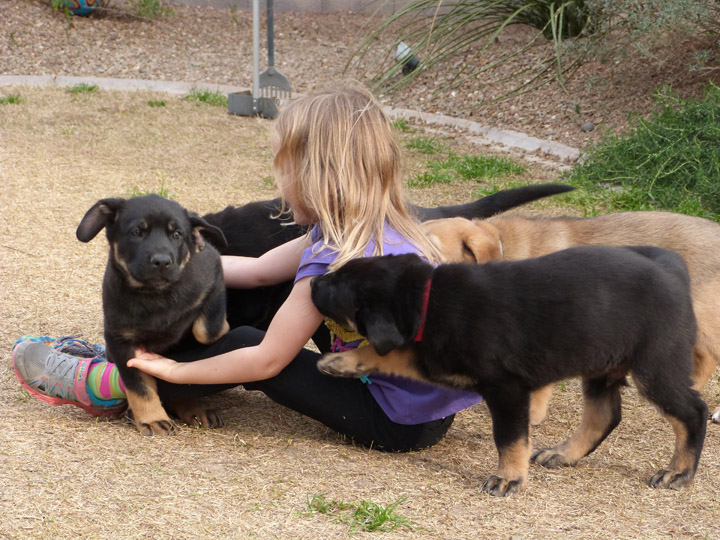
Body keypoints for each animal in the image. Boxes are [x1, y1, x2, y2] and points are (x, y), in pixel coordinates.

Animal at [76, 194, 229, 434]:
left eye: (177, 234)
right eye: (137, 232)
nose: (162, 262)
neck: (154, 295)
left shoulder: (214, 271)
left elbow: (207, 330)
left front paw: (224, 326)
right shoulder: (119, 340)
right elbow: (138, 386)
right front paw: (152, 418)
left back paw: (196, 409)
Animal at [314, 251, 708, 496]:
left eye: (336, 290)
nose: (314, 282)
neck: (427, 298)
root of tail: (676, 275)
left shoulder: (507, 389)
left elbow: (509, 438)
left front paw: (509, 479)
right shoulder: (434, 356)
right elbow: (394, 352)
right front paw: (343, 363)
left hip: (655, 366)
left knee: (693, 411)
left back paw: (679, 472)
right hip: (602, 363)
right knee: (605, 415)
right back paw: (565, 454)